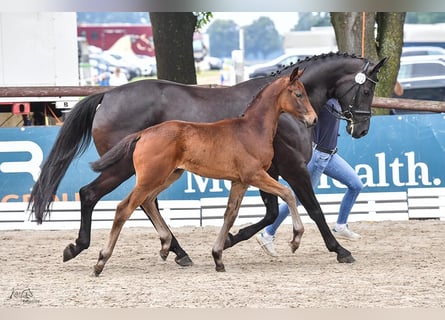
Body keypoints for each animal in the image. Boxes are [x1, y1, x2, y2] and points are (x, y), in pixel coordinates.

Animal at [92, 66, 318, 274]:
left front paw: (218, 256)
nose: (313, 119)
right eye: (298, 94)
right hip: (151, 178)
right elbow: (288, 194)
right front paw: (296, 239)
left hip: (169, 175)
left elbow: (230, 214)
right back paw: (101, 260)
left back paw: (166, 246)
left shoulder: (240, 181)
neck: (251, 130)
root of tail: (144, 133)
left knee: (147, 201)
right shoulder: (254, 175)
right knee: (125, 208)